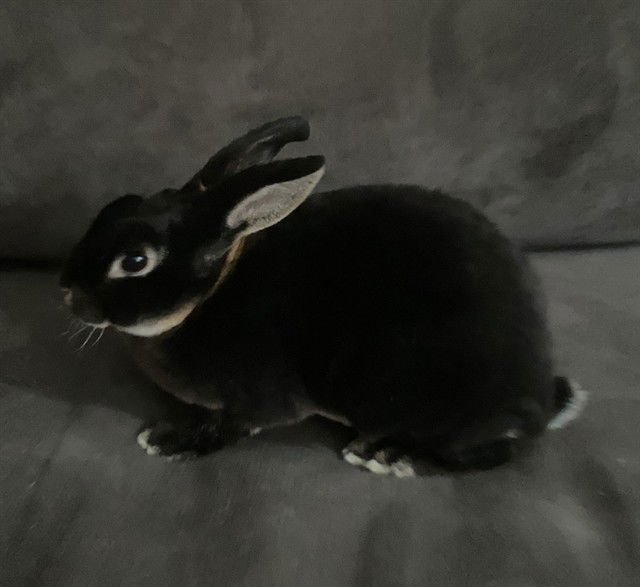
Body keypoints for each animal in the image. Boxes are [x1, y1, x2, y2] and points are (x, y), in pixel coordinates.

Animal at [60, 116, 587, 476]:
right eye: (117, 206)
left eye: (134, 261)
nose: (67, 290)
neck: (207, 297)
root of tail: (541, 399)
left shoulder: (258, 401)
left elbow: (225, 429)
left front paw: (167, 440)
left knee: (484, 453)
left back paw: (388, 454)